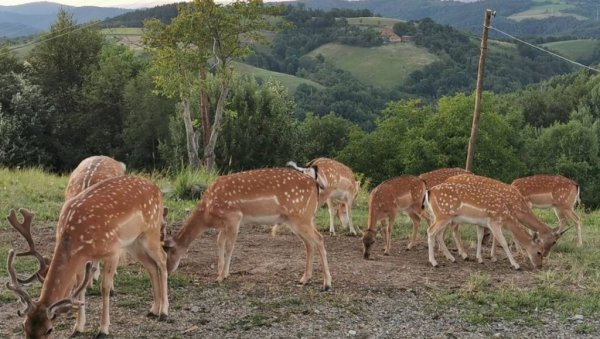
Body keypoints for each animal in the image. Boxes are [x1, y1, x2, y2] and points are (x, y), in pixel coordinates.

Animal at [5, 177, 168, 338]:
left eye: (49, 329)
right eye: (24, 326)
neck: (77, 237)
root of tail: (157, 189)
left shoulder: (113, 250)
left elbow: (105, 288)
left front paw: (103, 330)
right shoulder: (81, 259)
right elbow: (80, 289)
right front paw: (77, 328)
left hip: (151, 231)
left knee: (163, 259)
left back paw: (164, 313)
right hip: (134, 243)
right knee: (151, 266)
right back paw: (153, 310)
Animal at [162, 169, 332, 290]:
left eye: (169, 253)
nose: (167, 272)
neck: (207, 214)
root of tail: (315, 185)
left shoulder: (234, 217)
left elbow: (230, 246)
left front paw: (222, 276)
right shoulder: (225, 224)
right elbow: (219, 242)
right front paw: (221, 272)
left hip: (300, 216)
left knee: (319, 239)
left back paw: (326, 284)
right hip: (299, 219)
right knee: (309, 243)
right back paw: (304, 279)